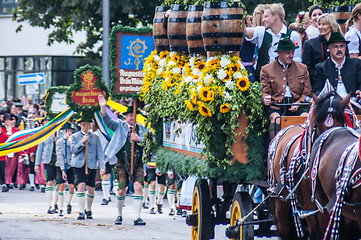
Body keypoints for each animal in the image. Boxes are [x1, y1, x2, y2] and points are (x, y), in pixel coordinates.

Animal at [268, 92, 348, 240]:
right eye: (317, 126)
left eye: (342, 124)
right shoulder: (311, 204)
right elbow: (317, 231)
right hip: (281, 197)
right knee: (284, 227)